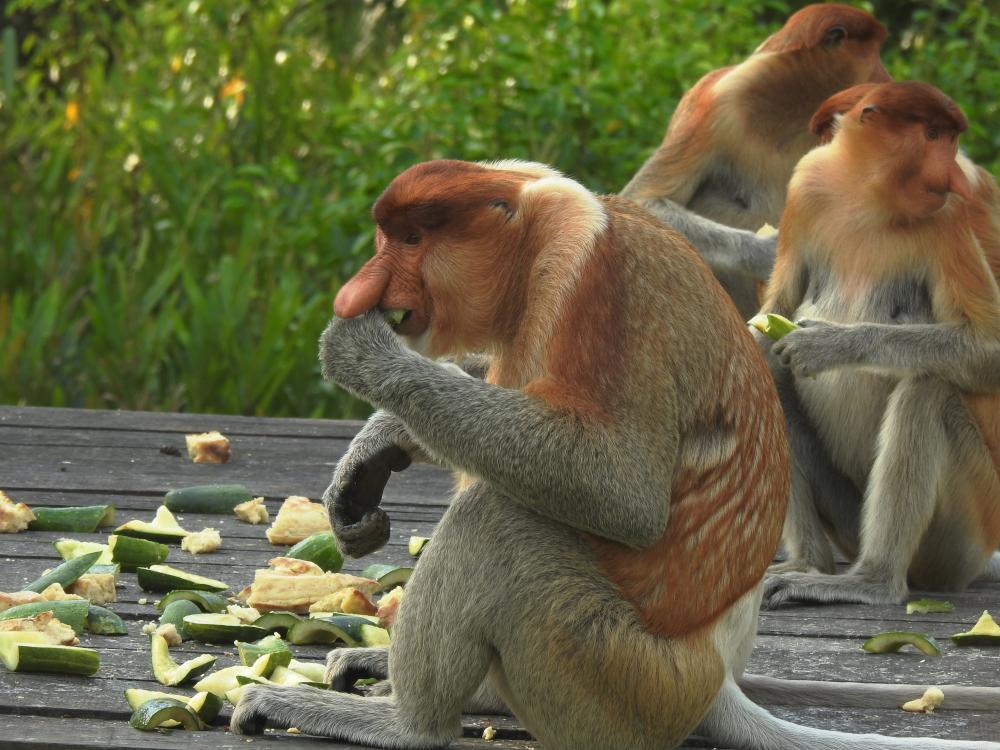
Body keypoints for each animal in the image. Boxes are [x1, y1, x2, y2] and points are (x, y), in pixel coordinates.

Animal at [230, 160, 1000, 750]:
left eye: (413, 238)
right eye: (389, 236)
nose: (363, 287)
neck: (532, 241)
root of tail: (714, 679)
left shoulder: (593, 286)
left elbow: (621, 493)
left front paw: (364, 356)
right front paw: (373, 451)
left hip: (620, 675)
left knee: (498, 521)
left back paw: (403, 724)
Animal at [620, 2, 896, 320]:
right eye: (874, 52)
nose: (888, 81)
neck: (791, 110)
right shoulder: (715, 104)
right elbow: (643, 199)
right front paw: (769, 251)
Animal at [752, 82, 1000, 612]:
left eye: (948, 137)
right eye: (932, 135)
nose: (953, 176)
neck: (865, 196)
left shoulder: (950, 216)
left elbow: (989, 347)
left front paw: (826, 343)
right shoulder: (805, 188)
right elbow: (774, 313)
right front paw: (754, 338)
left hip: (966, 531)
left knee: (928, 390)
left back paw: (871, 582)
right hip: (849, 520)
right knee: (772, 375)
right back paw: (811, 566)